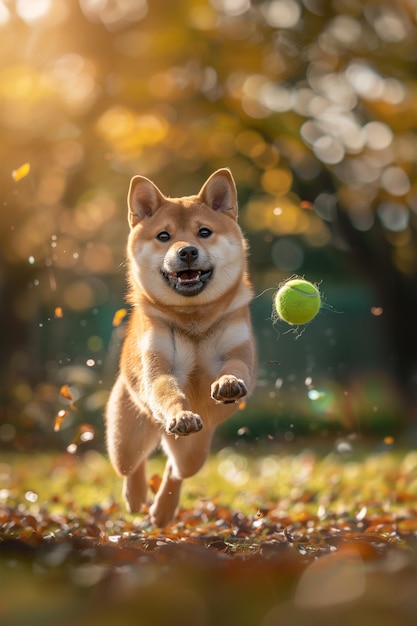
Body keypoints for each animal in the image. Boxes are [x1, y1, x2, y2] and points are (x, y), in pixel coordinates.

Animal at [105, 168, 255, 524]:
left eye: (204, 232)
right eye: (164, 236)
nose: (186, 251)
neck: (193, 318)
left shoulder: (237, 352)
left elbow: (235, 369)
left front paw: (228, 383)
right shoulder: (161, 368)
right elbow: (167, 390)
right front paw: (181, 414)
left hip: (194, 451)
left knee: (176, 469)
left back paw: (162, 510)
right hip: (125, 438)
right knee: (133, 465)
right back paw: (136, 496)